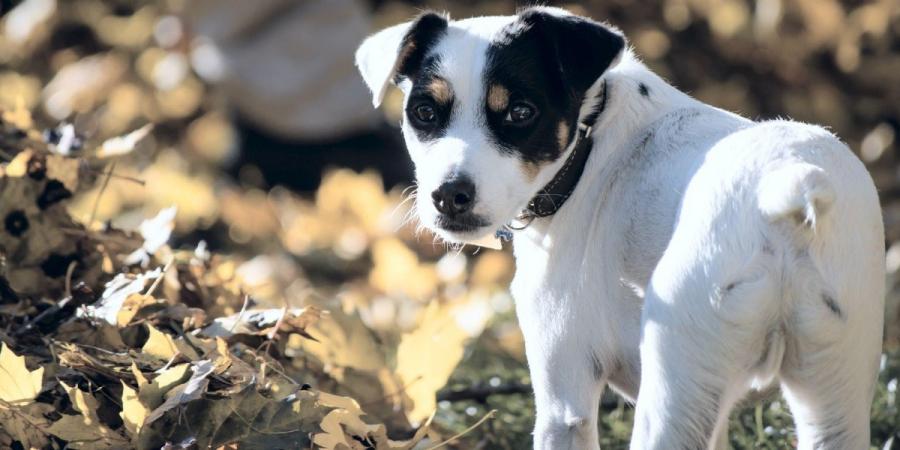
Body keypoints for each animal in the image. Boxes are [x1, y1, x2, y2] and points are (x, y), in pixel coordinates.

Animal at [354, 7, 884, 450]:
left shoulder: (564, 394)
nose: (449, 196)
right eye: (424, 113)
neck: (588, 150)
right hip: (832, 396)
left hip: (670, 392)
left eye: (521, 112)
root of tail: (784, 190)